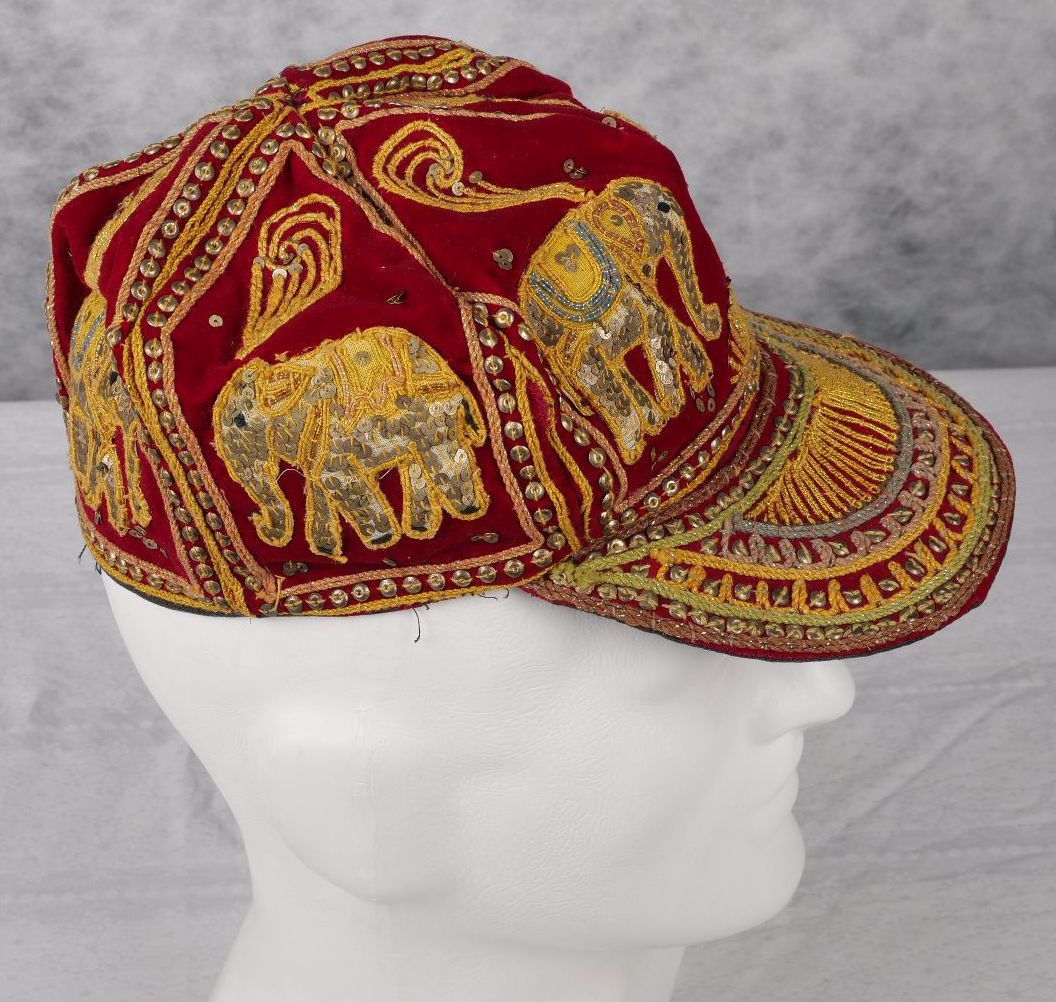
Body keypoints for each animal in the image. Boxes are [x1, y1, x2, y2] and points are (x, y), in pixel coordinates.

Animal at [212, 327, 490, 559]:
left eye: (239, 420)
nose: (258, 521)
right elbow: (318, 485)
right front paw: (326, 548)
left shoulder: (331, 438)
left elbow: (341, 481)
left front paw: (381, 539)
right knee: (414, 462)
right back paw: (421, 527)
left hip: (432, 411)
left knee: (442, 452)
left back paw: (467, 510)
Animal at [518, 177, 723, 464]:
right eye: (662, 207)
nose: (715, 311)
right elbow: (658, 319)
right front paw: (674, 409)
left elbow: (663, 317)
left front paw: (698, 383)